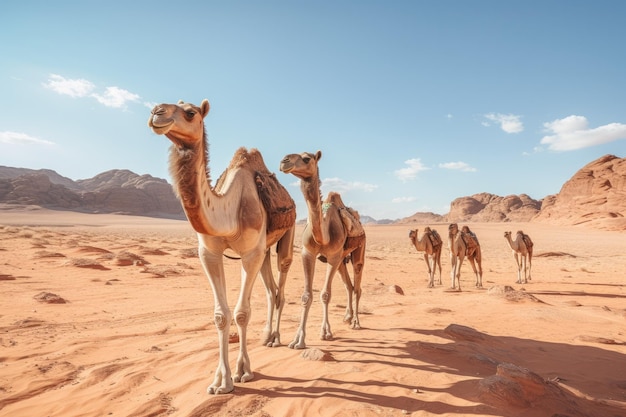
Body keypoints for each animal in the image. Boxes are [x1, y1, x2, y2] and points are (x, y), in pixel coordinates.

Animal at [147, 100, 296, 394]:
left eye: (190, 112)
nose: (156, 112)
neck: (230, 211)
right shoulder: (209, 253)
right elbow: (221, 315)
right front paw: (219, 381)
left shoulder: (249, 254)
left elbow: (241, 313)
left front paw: (242, 372)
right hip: (264, 251)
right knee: (271, 290)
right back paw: (266, 336)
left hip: (287, 236)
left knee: (281, 285)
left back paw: (275, 338)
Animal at [280, 150, 366, 348]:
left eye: (306, 158)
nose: (284, 161)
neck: (324, 234)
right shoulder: (307, 253)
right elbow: (307, 296)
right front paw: (297, 340)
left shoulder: (333, 256)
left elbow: (326, 294)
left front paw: (325, 333)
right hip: (342, 260)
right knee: (349, 286)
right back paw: (347, 317)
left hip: (358, 251)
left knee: (357, 287)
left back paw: (356, 322)